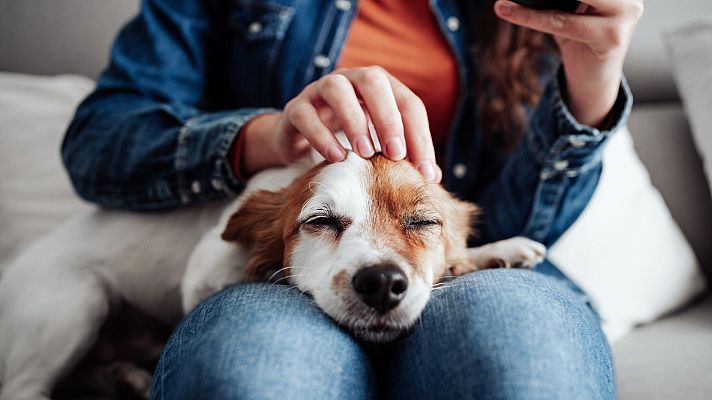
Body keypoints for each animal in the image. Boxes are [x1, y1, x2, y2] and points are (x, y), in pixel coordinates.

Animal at [0, 147, 544, 400]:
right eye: (320, 221)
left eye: (423, 223)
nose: (382, 283)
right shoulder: (200, 274)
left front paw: (498, 249)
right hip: (77, 299)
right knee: (23, 388)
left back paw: (128, 376)